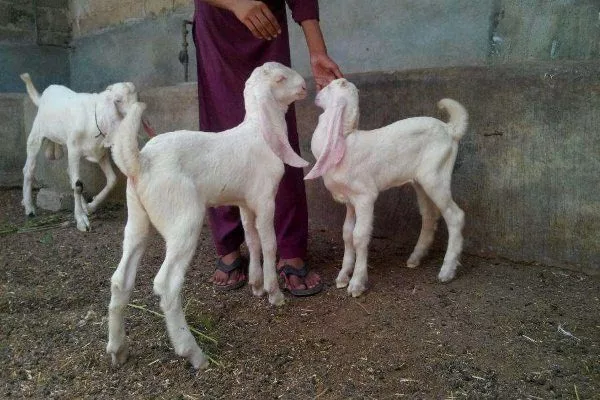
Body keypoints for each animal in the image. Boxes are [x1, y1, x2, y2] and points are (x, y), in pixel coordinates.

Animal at [106, 60, 310, 368]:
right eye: (280, 78)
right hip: (183, 219)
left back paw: (118, 349)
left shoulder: (244, 201)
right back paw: (193, 353)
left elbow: (252, 240)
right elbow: (269, 243)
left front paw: (256, 284)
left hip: (137, 219)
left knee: (120, 280)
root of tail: (140, 162)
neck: (259, 132)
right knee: (166, 285)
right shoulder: (265, 199)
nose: (305, 87)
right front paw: (274, 294)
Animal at [304, 79, 468, 296]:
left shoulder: (365, 196)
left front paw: (356, 284)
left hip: (436, 176)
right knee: (429, 215)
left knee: (455, 216)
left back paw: (447, 271)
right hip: (420, 182)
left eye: (331, 87)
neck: (346, 144)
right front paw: (342, 276)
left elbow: (359, 235)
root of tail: (450, 130)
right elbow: (347, 233)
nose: (316, 94)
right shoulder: (350, 201)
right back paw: (415, 258)